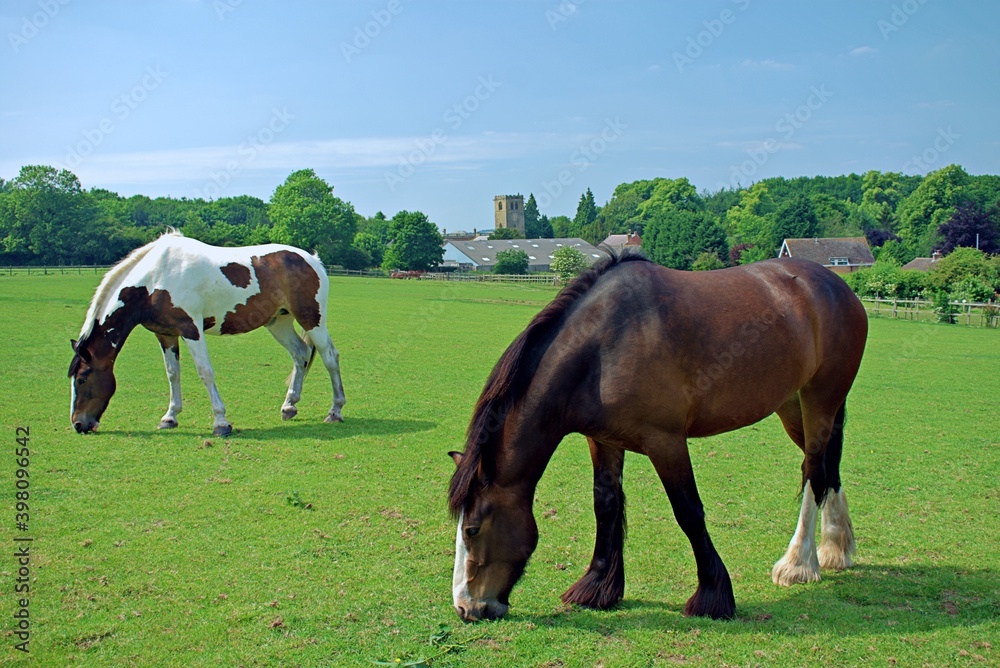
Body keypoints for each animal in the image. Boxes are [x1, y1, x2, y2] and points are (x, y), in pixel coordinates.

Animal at [69, 230, 347, 436]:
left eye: (82, 379)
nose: (78, 424)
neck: (154, 279)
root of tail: (312, 260)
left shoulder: (192, 330)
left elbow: (205, 373)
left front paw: (221, 423)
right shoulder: (165, 334)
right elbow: (172, 374)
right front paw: (169, 417)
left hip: (312, 319)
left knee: (330, 357)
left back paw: (335, 411)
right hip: (279, 322)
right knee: (300, 354)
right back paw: (289, 406)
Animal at [448, 252, 867, 621]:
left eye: (472, 529)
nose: (466, 608)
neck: (603, 347)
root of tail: (838, 287)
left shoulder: (666, 441)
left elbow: (688, 511)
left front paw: (713, 595)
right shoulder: (603, 440)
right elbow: (606, 504)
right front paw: (597, 587)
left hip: (820, 400)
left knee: (814, 470)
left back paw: (799, 562)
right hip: (793, 405)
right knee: (827, 468)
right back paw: (835, 550)